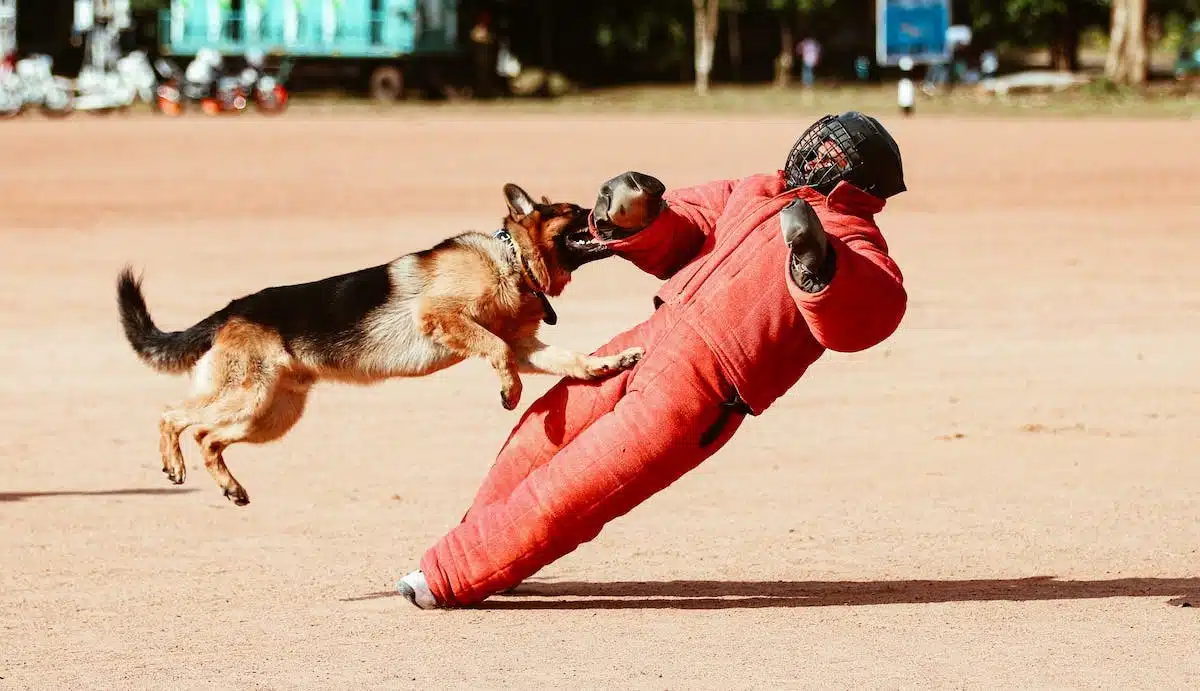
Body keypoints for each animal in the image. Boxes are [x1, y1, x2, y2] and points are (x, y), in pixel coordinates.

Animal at [117, 184, 643, 508]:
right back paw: (173, 464)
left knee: (209, 438)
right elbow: (493, 349)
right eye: (574, 213)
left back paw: (231, 487)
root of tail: (229, 311)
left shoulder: (525, 347)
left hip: (271, 414)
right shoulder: (444, 318)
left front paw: (610, 364)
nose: (607, 216)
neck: (508, 260)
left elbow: (570, 359)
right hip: (247, 396)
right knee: (173, 416)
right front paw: (510, 393)